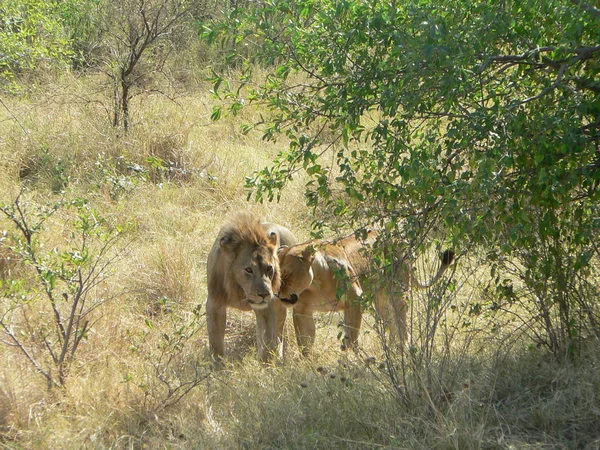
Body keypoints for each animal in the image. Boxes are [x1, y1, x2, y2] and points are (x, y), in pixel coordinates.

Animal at [206, 214, 298, 362]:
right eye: (249, 269)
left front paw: (265, 364)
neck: (239, 290)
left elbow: (267, 340)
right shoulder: (214, 303)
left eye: (269, 268)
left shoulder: (266, 307)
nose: (264, 294)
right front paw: (217, 364)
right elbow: (216, 341)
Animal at [276, 230, 454, 356]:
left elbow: (351, 339)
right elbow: (305, 344)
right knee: (392, 323)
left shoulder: (355, 300)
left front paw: (350, 363)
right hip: (382, 301)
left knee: (402, 325)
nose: (277, 294)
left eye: (287, 274)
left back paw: (403, 351)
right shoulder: (302, 311)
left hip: (399, 292)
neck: (315, 283)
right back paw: (393, 352)